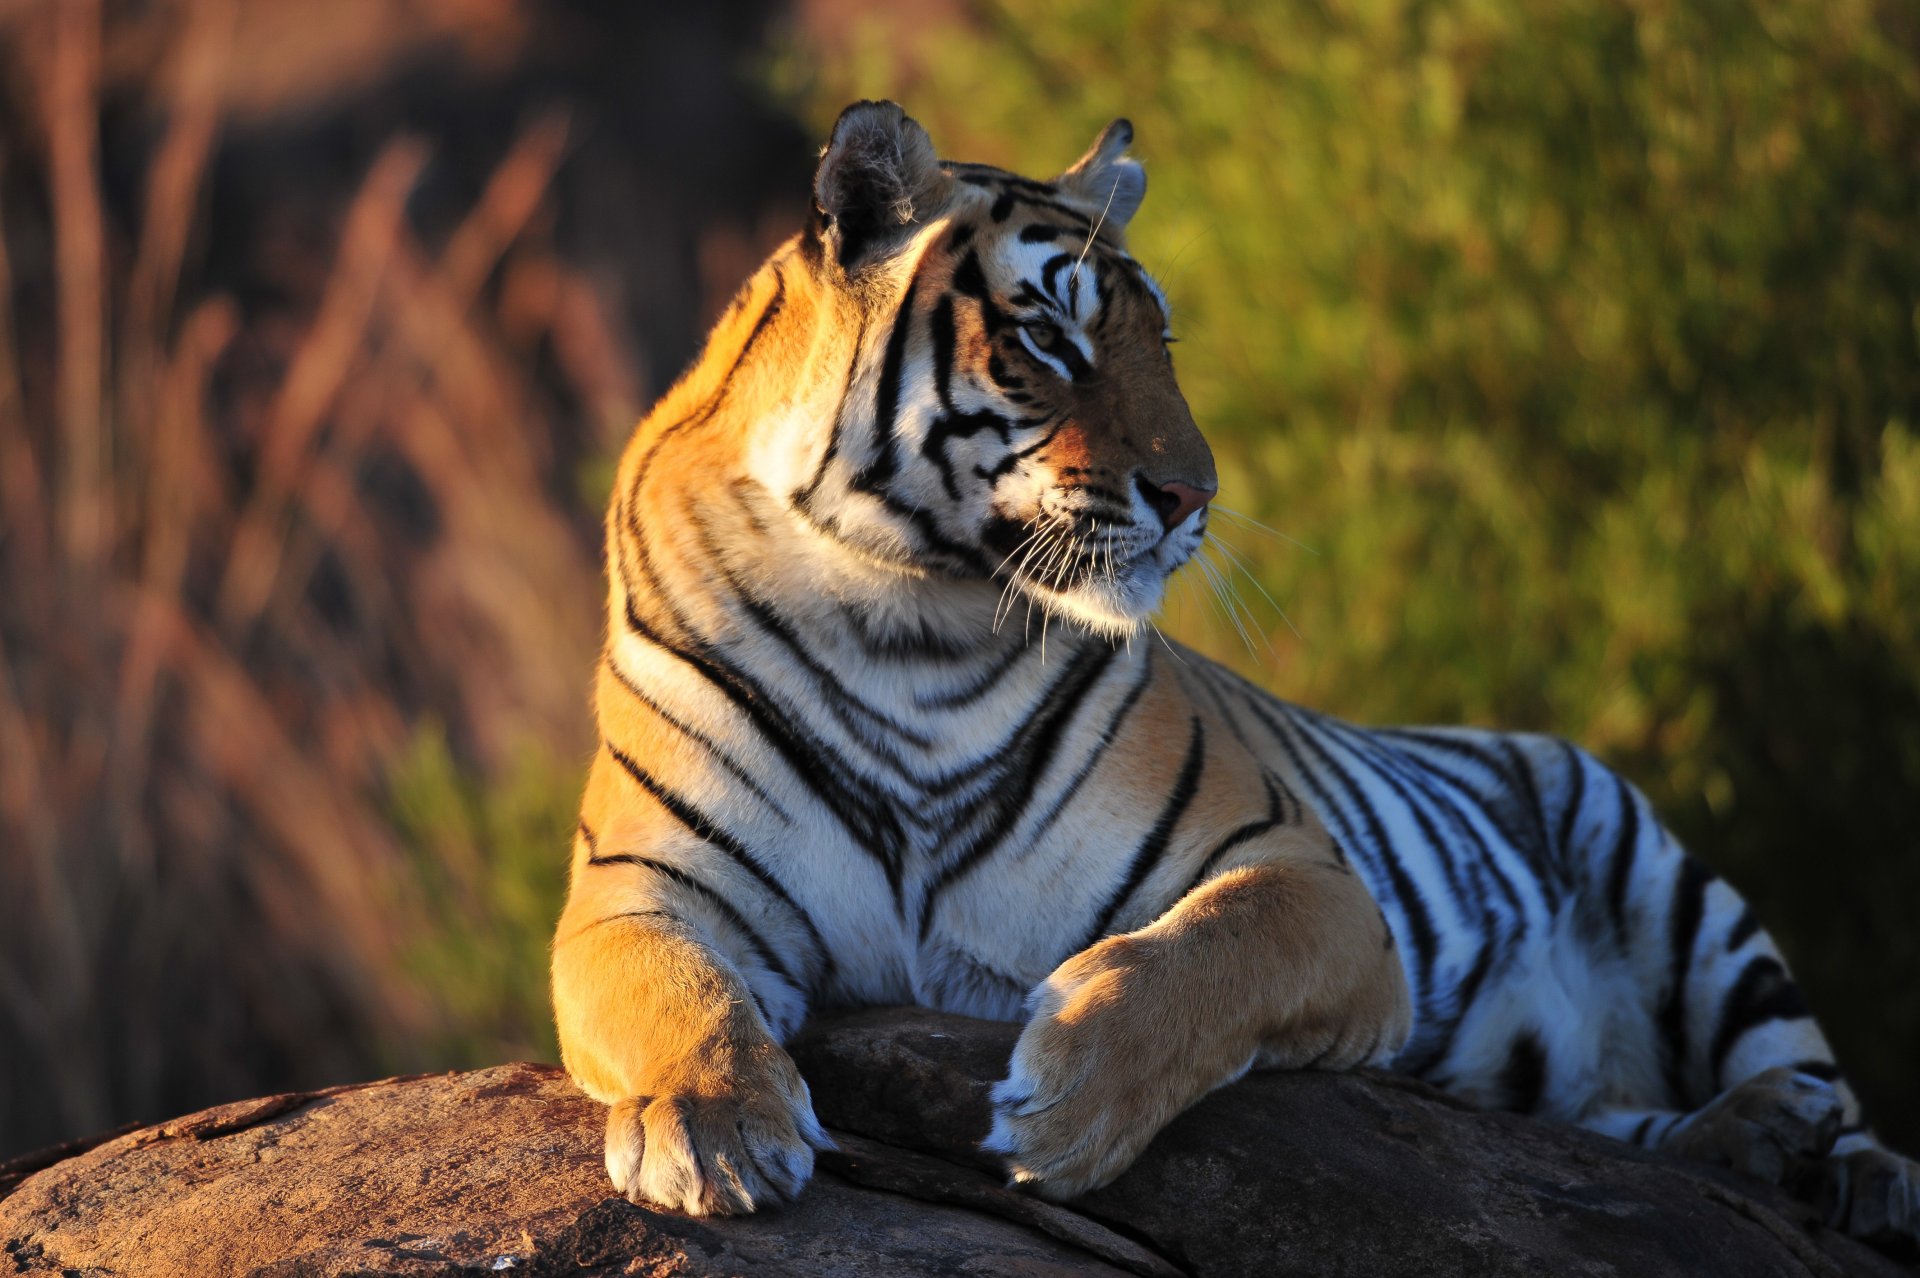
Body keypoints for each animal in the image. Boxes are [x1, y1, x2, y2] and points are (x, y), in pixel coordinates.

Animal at [549, 99, 1918, 1251]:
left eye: (1162, 339)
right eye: (1049, 338)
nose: (1194, 495)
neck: (904, 618)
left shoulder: (1310, 880)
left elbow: (1203, 957)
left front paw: (1068, 1102)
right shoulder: (640, 889)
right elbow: (672, 991)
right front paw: (714, 1128)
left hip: (1681, 893)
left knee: (1809, 1070)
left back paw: (1843, 1162)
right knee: (1602, 1121)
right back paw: (1756, 1141)